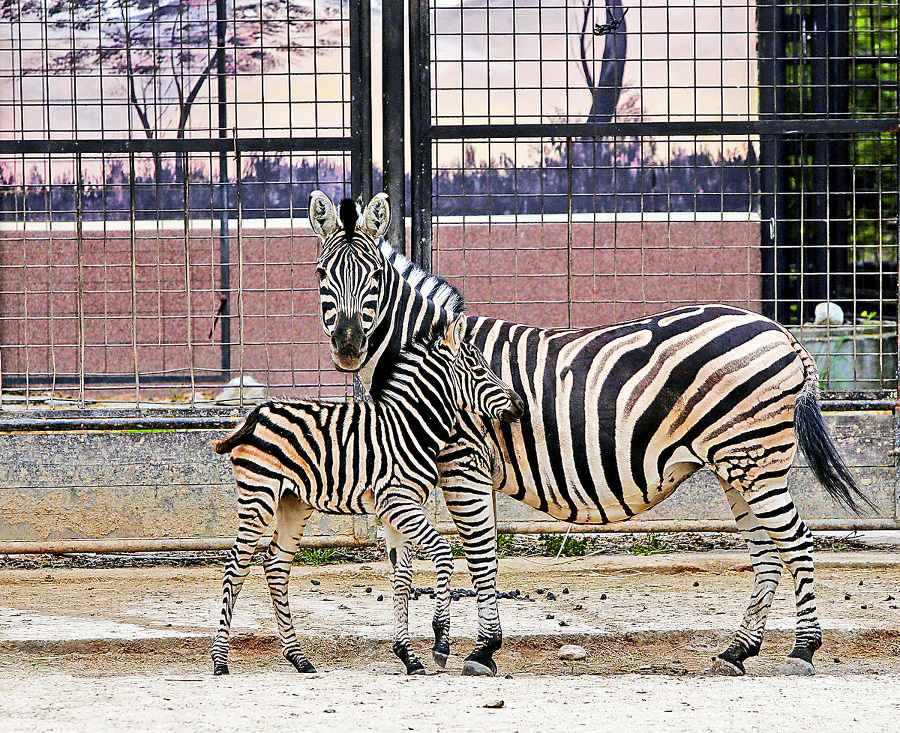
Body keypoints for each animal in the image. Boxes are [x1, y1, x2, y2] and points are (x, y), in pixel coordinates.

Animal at [208, 314, 524, 676]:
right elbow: (443, 554)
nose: (520, 406)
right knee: (236, 567)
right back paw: (220, 661)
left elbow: (402, 578)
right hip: (259, 493)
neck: (411, 427)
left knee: (276, 565)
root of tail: (257, 412)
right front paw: (440, 642)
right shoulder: (396, 502)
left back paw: (299, 657)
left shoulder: (397, 510)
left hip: (293, 502)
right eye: (477, 369)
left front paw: (407, 656)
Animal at [310, 190, 872, 676]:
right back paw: (737, 651)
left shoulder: (462, 463)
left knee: (796, 541)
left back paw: (802, 651)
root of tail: (783, 333)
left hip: (754, 457)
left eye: (375, 275)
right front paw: (429, 650)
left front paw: (480, 651)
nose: (347, 347)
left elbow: (478, 553)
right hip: (736, 464)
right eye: (321, 273)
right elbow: (404, 563)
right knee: (766, 551)